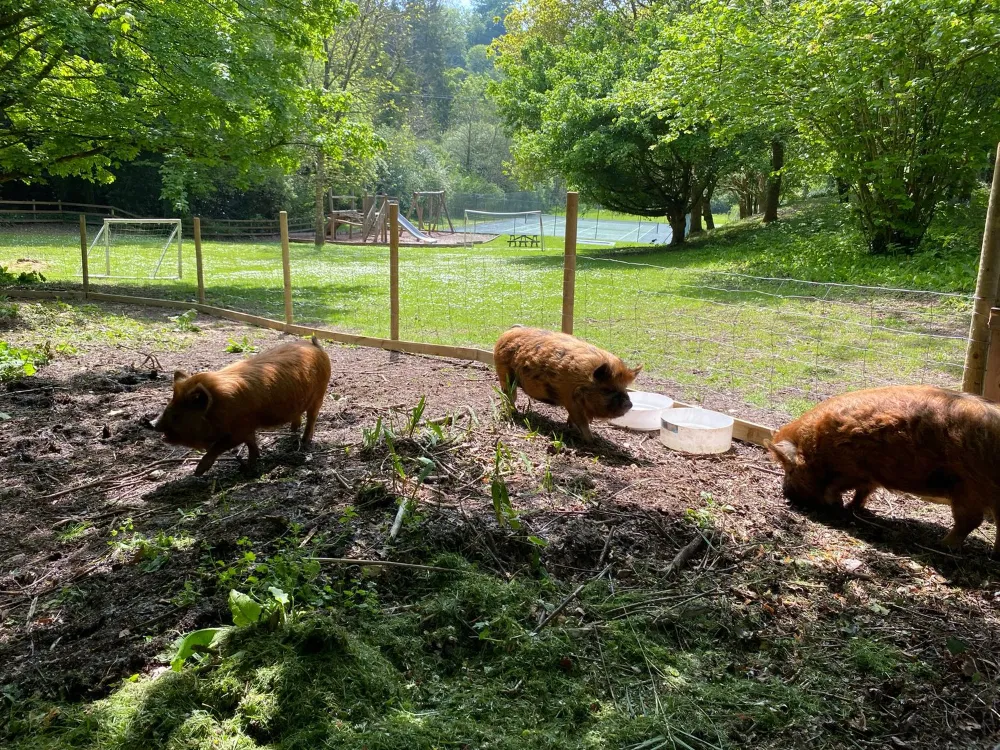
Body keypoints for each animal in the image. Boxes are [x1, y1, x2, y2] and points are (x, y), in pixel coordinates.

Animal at [154, 335, 331, 476]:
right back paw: (293, 431)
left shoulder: (239, 430)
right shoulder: (247, 429)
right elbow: (251, 444)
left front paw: (198, 472)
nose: (153, 425)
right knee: (298, 415)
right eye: (168, 407)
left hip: (319, 394)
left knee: (312, 418)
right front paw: (250, 464)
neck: (219, 407)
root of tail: (315, 345)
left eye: (177, 415)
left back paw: (305, 441)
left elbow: (219, 446)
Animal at [493, 326, 642, 442]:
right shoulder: (570, 400)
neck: (583, 381)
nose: (629, 404)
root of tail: (506, 333)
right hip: (504, 375)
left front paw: (573, 429)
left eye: (625, 388)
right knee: (509, 396)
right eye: (607, 389)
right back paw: (514, 412)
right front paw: (591, 440)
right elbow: (582, 421)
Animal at [768, 384, 1000, 557]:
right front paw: (853, 507)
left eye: (789, 470)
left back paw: (942, 545)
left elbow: (837, 487)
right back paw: (993, 554)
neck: (816, 446)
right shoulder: (869, 477)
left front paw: (837, 505)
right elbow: (864, 492)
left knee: (971, 519)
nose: (785, 493)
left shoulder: (851, 468)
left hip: (968, 486)